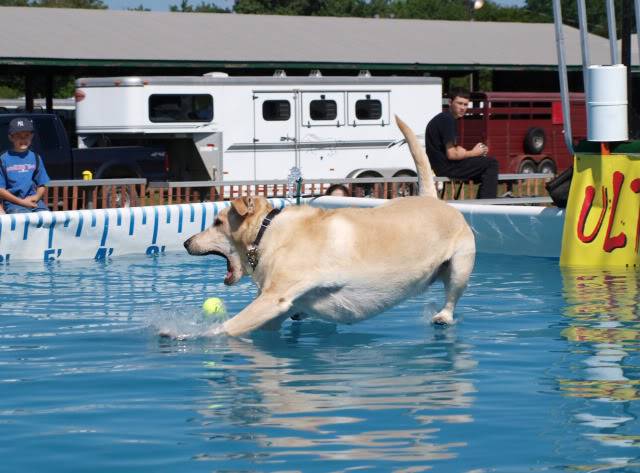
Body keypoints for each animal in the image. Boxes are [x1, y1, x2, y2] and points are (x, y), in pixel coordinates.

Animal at [182, 116, 472, 336]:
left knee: (451, 299)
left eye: (217, 222)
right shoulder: (280, 308)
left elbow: (226, 328)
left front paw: (190, 335)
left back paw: (443, 317)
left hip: (460, 268)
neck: (268, 232)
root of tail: (431, 198)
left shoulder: (274, 298)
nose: (186, 242)